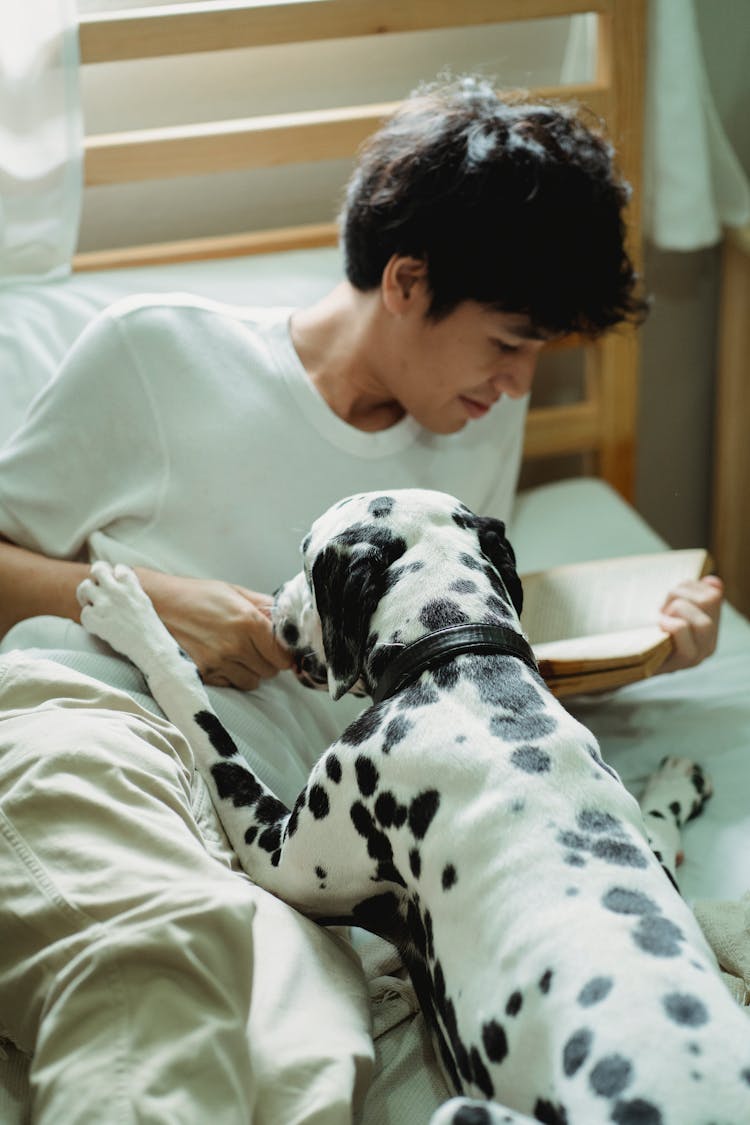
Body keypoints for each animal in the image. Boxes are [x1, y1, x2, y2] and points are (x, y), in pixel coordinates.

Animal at [76, 490, 750, 1125]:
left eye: (304, 559)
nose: (273, 600)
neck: (462, 665)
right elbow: (659, 828)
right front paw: (675, 783)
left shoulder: (278, 855)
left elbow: (197, 709)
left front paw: (134, 616)